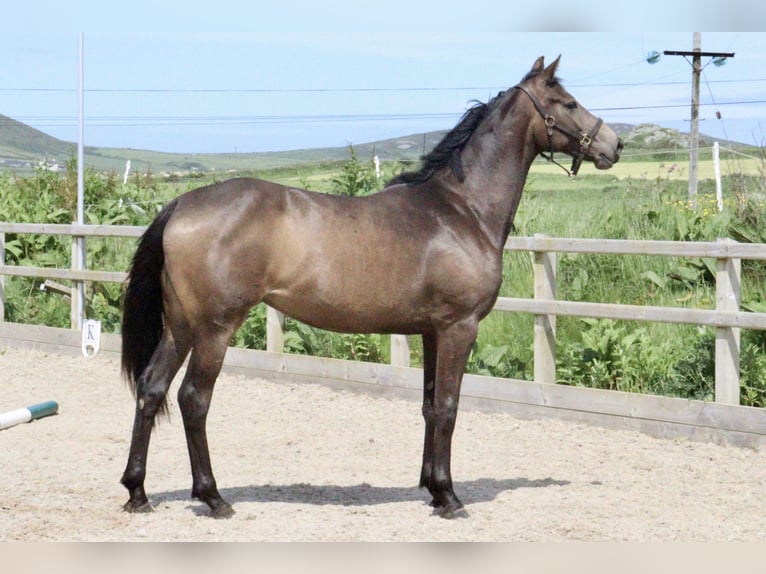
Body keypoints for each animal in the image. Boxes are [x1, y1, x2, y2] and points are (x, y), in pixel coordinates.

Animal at [120, 55, 624, 520]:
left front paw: (431, 488)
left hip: (181, 326)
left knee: (151, 389)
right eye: (568, 102)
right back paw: (213, 497)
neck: (460, 209)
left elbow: (429, 407)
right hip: (215, 328)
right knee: (193, 399)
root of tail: (182, 203)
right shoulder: (460, 327)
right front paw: (449, 497)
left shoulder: (432, 331)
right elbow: (448, 406)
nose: (614, 144)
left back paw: (137, 492)